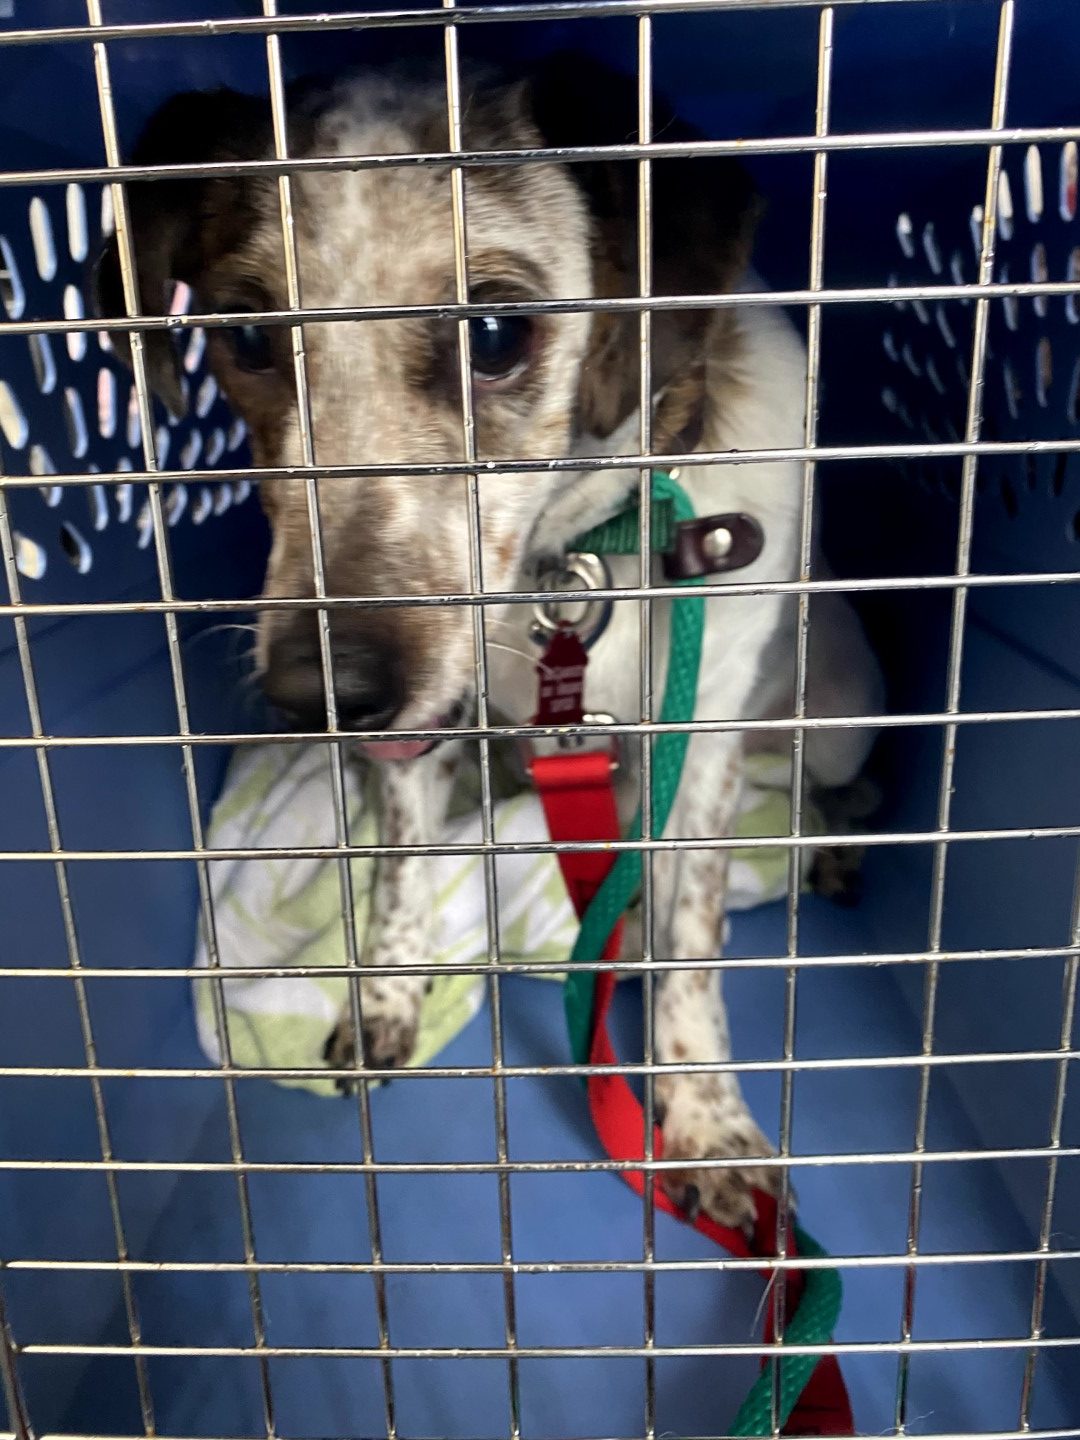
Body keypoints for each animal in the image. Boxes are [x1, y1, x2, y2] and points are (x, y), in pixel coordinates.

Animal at [96, 55, 883, 1230]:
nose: (321, 693)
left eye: (496, 336)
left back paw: (831, 839)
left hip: (836, 714)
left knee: (826, 782)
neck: (571, 561)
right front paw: (388, 993)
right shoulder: (420, 727)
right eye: (247, 337)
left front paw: (705, 1117)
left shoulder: (699, 738)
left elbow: (693, 936)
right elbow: (399, 869)